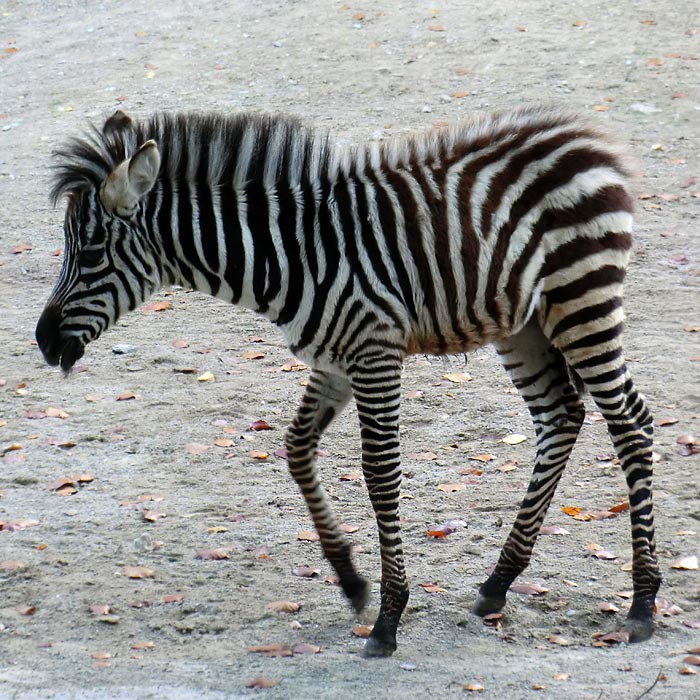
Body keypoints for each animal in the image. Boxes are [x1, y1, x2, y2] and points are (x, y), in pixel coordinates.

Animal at [37, 106, 660, 660]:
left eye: (90, 251)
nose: (42, 342)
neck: (289, 256)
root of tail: (587, 137)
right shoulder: (333, 360)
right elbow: (296, 450)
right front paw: (351, 581)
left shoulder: (374, 352)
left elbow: (380, 474)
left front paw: (388, 618)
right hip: (524, 323)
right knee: (561, 416)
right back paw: (499, 583)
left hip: (582, 299)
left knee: (632, 423)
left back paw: (643, 605)